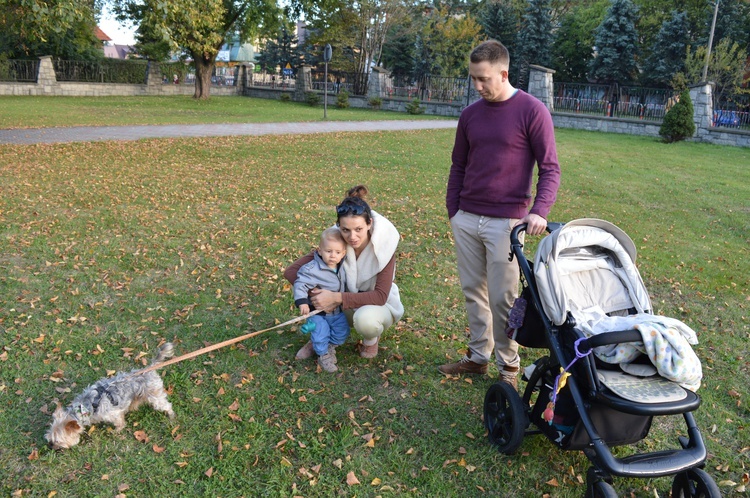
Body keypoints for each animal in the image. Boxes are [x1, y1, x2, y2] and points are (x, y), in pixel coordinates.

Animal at [45, 340, 176, 450]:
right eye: (50, 439)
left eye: (58, 441)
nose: (50, 446)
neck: (85, 407)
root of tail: (150, 368)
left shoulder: (113, 413)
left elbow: (120, 422)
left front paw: (117, 430)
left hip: (155, 396)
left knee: (166, 405)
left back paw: (171, 416)